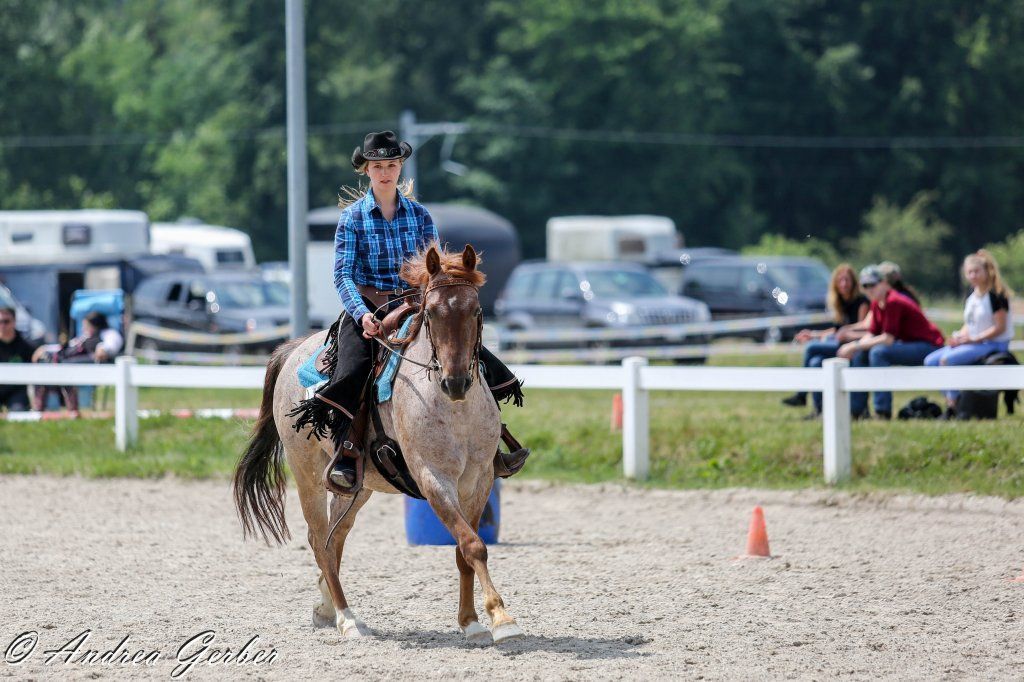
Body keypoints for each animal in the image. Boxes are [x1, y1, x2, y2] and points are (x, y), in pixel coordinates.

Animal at [232, 243, 523, 646]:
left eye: (477, 311)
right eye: (430, 313)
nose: (456, 382)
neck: (454, 410)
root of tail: (293, 349)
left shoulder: (479, 480)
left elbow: (464, 550)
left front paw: (471, 622)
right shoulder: (433, 479)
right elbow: (473, 545)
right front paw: (502, 618)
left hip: (357, 486)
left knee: (334, 539)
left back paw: (325, 607)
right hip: (306, 474)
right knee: (319, 539)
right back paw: (347, 618)